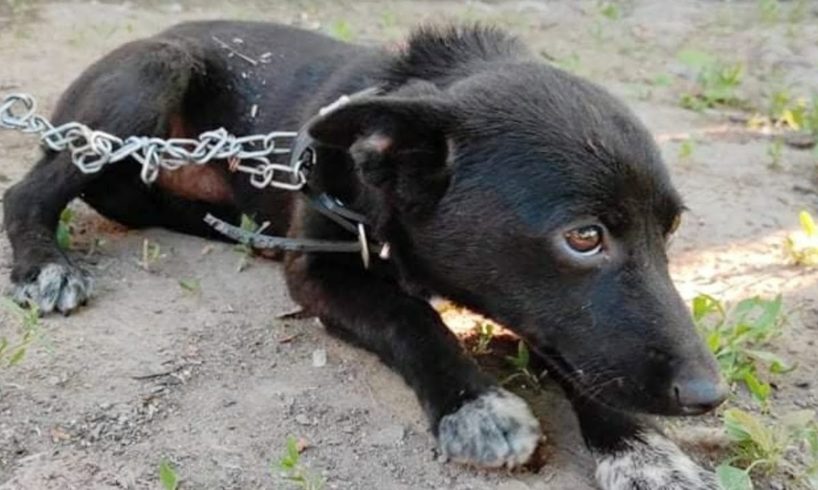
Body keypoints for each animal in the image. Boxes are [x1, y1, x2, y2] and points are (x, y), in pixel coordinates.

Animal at [1, 21, 728, 488]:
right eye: (583, 236)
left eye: (670, 231)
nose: (708, 396)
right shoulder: (321, 270)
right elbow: (412, 317)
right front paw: (474, 404)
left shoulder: (555, 319)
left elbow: (583, 362)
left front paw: (640, 448)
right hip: (148, 77)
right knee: (26, 192)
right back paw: (45, 264)